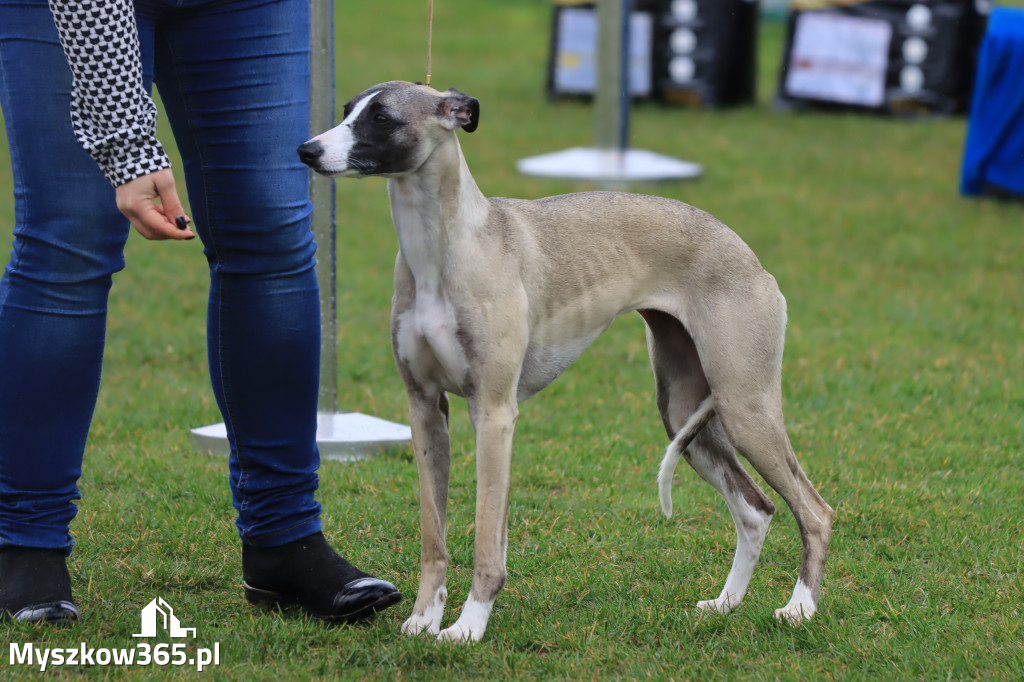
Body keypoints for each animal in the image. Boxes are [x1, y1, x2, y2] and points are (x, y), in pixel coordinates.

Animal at [296, 82, 831, 638]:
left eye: (380, 117)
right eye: (347, 110)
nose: (307, 150)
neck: (447, 248)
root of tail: (748, 254)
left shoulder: (493, 413)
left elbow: (487, 541)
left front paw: (467, 628)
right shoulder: (424, 409)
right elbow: (434, 537)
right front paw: (424, 620)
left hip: (745, 405)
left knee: (815, 511)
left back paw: (800, 608)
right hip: (685, 411)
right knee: (755, 510)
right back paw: (725, 604)